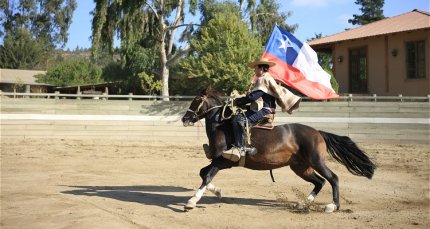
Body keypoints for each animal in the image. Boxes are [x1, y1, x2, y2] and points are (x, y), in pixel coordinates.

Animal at [181, 87, 376, 213]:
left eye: (196, 100)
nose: (185, 118)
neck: (223, 126)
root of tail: (318, 132)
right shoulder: (219, 161)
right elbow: (202, 173)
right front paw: (217, 191)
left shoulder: (224, 161)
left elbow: (206, 175)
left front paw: (192, 201)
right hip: (300, 167)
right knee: (319, 182)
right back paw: (302, 203)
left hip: (316, 162)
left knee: (333, 178)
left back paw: (332, 206)